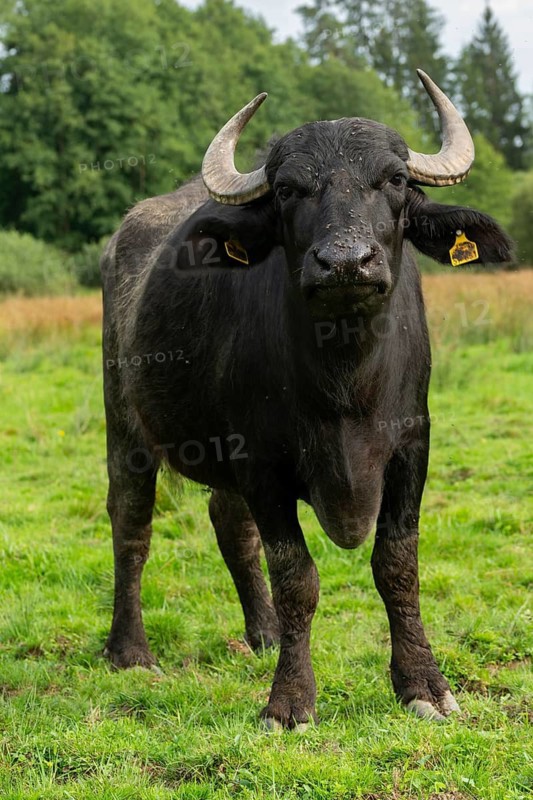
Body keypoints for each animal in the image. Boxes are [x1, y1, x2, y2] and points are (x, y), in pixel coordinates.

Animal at [101, 70, 512, 729]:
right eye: (290, 189)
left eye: (395, 180)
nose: (345, 263)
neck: (344, 383)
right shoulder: (263, 464)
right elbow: (297, 577)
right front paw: (290, 701)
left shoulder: (411, 450)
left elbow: (397, 566)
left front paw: (424, 685)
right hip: (126, 423)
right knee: (132, 522)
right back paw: (130, 650)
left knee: (229, 524)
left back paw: (263, 633)